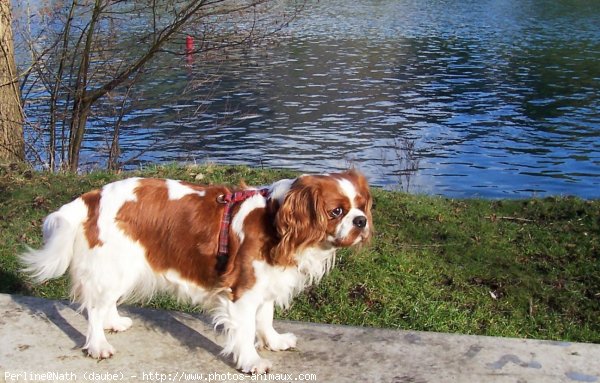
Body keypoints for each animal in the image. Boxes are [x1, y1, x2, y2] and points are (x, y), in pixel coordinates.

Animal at [19, 170, 370, 376]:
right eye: (336, 211)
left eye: (362, 206)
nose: (361, 222)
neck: (276, 220)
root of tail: (90, 197)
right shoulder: (242, 291)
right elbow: (245, 330)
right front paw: (251, 362)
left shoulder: (265, 281)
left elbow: (265, 317)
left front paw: (273, 341)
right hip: (115, 265)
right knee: (93, 308)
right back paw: (98, 345)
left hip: (126, 266)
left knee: (104, 304)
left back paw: (113, 323)